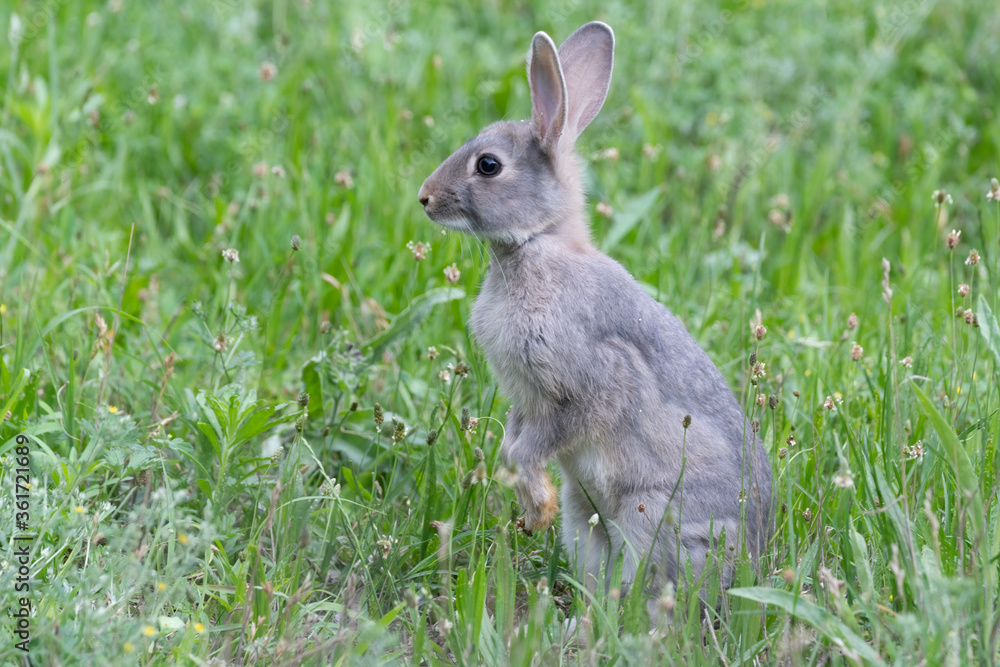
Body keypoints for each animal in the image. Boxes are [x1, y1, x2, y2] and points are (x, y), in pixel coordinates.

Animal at [417, 21, 772, 599]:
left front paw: (532, 501)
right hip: (585, 521)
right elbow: (513, 439)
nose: (425, 198)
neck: (538, 242)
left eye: (488, 165)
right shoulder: (526, 400)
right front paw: (530, 504)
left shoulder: (587, 384)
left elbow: (536, 442)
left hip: (648, 515)